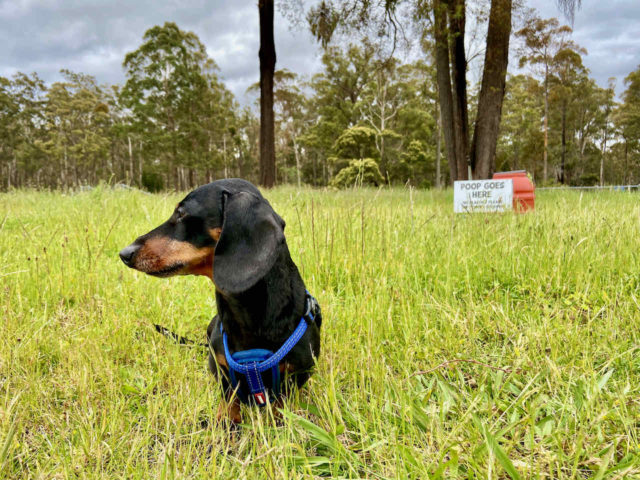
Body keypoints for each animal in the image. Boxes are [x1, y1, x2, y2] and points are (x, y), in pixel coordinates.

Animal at [118, 180, 322, 424]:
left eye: (181, 213)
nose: (124, 253)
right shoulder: (223, 370)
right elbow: (229, 399)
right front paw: (226, 423)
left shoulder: (298, 373)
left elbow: (280, 403)